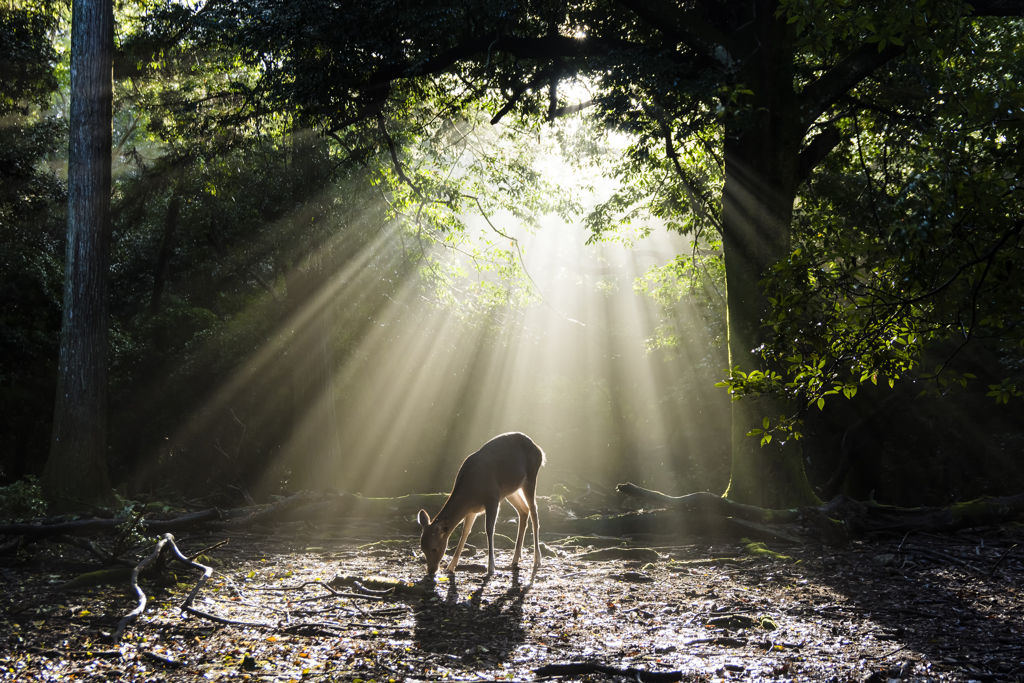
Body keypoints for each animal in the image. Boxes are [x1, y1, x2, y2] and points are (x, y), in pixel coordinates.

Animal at [415, 430, 544, 581]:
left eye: (434, 548)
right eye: (422, 548)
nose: (431, 570)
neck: (471, 492)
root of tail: (540, 450)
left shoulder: (492, 498)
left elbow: (489, 529)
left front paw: (491, 568)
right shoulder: (471, 511)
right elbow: (465, 532)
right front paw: (451, 567)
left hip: (531, 477)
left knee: (534, 511)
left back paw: (537, 559)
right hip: (511, 490)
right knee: (524, 510)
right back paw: (515, 560)